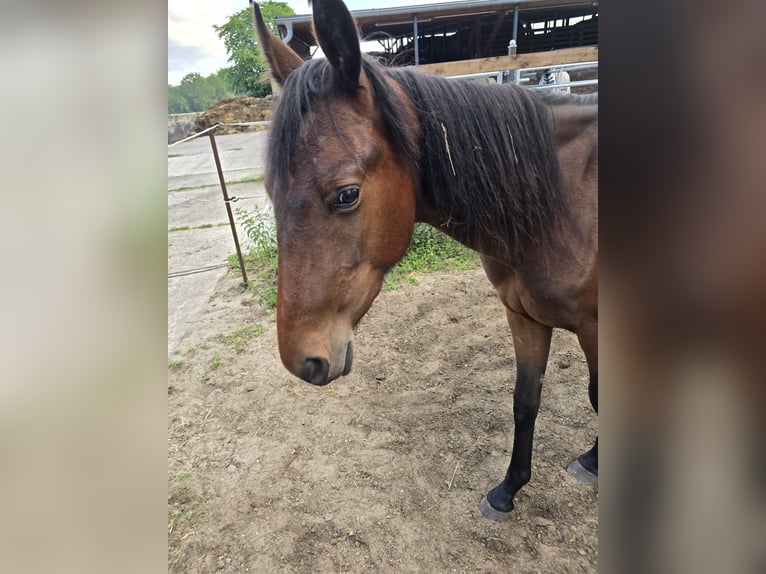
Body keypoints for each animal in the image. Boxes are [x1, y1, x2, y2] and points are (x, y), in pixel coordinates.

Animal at [252, 0, 598, 522]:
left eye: (347, 194)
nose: (301, 360)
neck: (563, 201)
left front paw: (594, 463)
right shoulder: (524, 317)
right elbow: (525, 401)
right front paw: (508, 490)